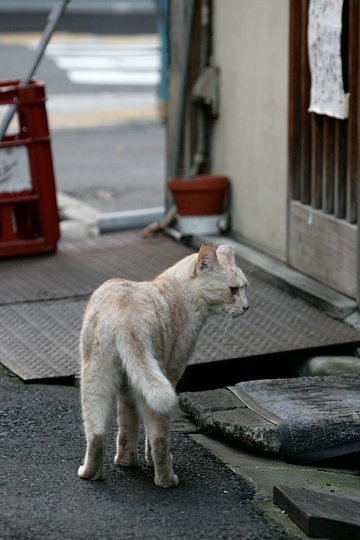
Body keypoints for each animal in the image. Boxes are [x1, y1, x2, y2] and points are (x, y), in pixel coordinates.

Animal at [77, 243, 249, 488]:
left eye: (245, 288)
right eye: (233, 290)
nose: (246, 307)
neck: (181, 292)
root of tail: (126, 319)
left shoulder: (127, 392)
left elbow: (127, 427)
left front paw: (126, 462)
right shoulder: (173, 372)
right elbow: (147, 437)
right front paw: (142, 462)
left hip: (95, 381)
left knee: (96, 434)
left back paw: (89, 473)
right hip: (159, 385)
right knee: (159, 439)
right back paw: (167, 480)